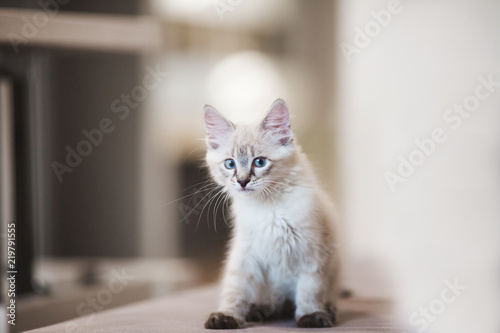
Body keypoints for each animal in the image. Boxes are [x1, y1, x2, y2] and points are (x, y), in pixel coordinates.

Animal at [203, 98, 340, 326]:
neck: (268, 207)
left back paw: (328, 309)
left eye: (259, 162)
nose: (242, 181)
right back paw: (257, 312)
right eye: (230, 164)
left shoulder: (312, 252)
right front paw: (227, 315)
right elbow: (235, 289)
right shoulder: (245, 252)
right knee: (269, 302)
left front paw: (311, 316)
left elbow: (309, 290)